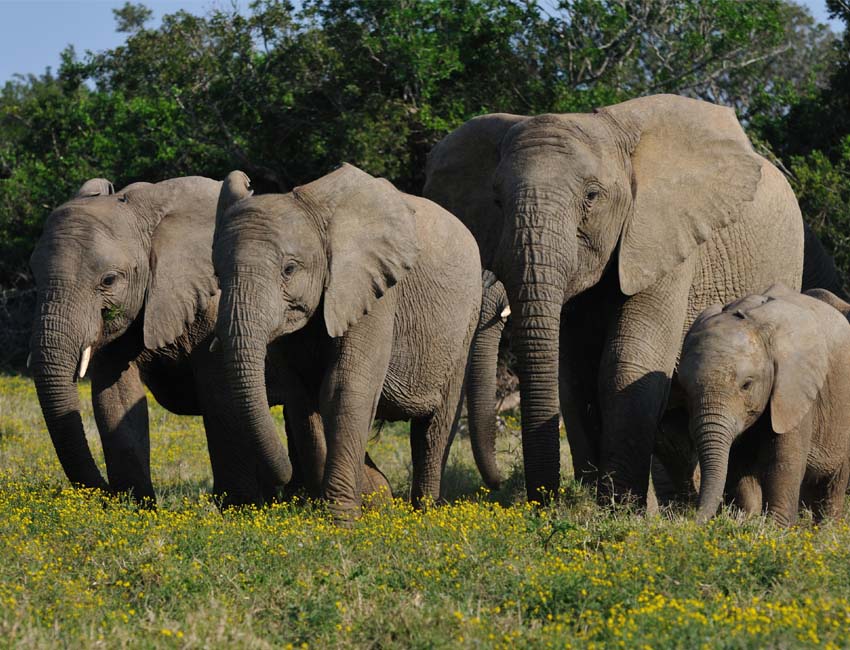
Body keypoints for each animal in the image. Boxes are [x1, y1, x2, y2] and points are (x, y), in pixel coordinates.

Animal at [28, 176, 388, 506]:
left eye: (108, 280)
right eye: (34, 276)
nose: (100, 493)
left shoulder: (214, 308)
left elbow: (220, 396)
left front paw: (238, 507)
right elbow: (115, 397)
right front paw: (135, 509)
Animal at [211, 165, 493, 519]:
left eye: (289, 269)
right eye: (217, 275)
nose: (282, 481)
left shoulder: (375, 290)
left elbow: (344, 387)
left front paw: (339, 520)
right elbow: (302, 398)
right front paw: (348, 504)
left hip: (464, 324)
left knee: (434, 428)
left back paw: (424, 513)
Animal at [424, 93, 804, 505]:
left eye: (592, 197)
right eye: (496, 199)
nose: (543, 499)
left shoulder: (663, 239)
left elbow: (628, 360)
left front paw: (619, 507)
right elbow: (575, 375)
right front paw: (599, 503)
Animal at [679, 284, 850, 525]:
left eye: (746, 385)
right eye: (685, 390)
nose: (688, 518)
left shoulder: (793, 389)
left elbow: (783, 461)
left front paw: (776, 528)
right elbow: (739, 463)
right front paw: (747, 521)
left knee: (833, 485)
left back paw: (826, 531)